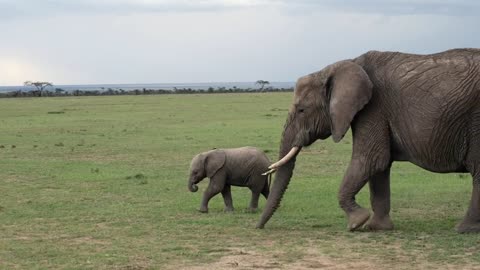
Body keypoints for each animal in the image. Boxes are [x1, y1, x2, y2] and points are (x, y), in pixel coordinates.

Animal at [256, 48, 480, 232]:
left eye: (302, 110)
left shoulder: (373, 108)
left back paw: (463, 229)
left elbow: (371, 159)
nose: (258, 227)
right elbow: (380, 167)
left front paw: (357, 222)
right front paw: (377, 228)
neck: (346, 63)